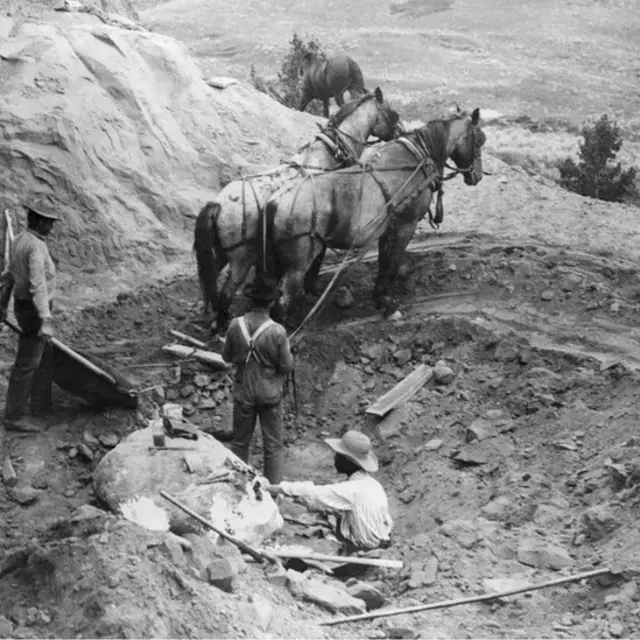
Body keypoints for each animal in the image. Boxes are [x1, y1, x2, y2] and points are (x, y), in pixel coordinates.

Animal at [192, 88, 398, 332]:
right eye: (391, 114)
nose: (400, 132)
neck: (325, 156)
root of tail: (218, 204)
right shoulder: (318, 234)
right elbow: (315, 263)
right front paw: (310, 289)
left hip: (223, 254)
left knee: (208, 280)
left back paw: (210, 316)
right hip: (241, 260)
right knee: (225, 293)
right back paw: (223, 323)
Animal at [262, 108, 488, 322]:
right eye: (479, 140)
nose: (477, 175)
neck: (416, 158)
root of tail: (275, 201)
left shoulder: (388, 228)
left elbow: (383, 262)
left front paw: (380, 298)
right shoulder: (406, 225)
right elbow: (392, 263)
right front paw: (389, 304)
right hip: (297, 266)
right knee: (282, 301)